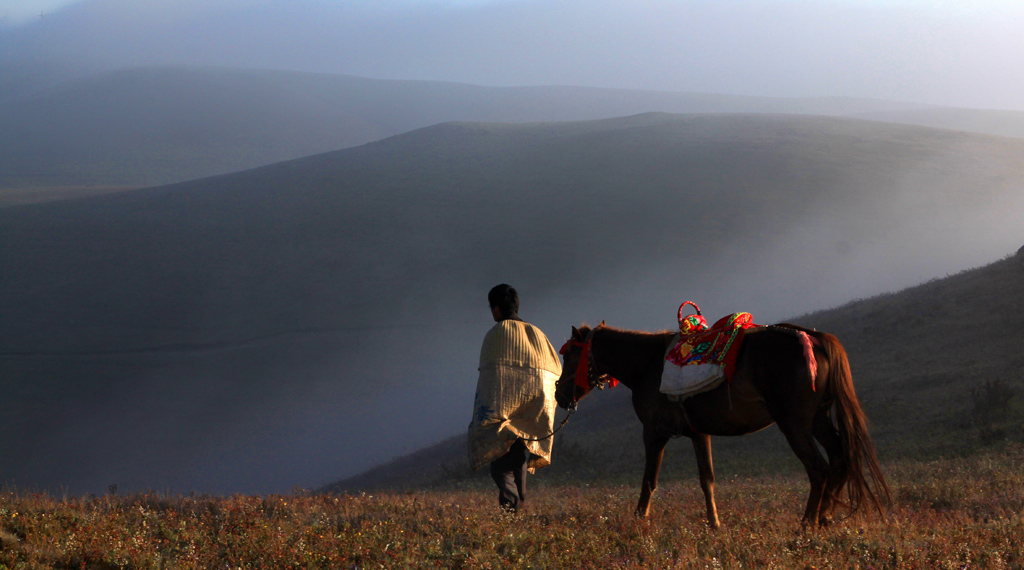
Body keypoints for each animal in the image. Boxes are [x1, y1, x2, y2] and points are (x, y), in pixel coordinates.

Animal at [552, 321, 888, 528]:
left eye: (570, 358)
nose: (559, 394)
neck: (648, 366)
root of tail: (814, 338)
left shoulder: (653, 433)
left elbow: (649, 481)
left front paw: (638, 519)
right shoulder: (699, 434)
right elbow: (707, 480)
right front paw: (714, 524)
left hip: (795, 424)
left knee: (818, 468)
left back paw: (806, 524)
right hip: (818, 420)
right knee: (840, 457)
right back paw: (825, 517)